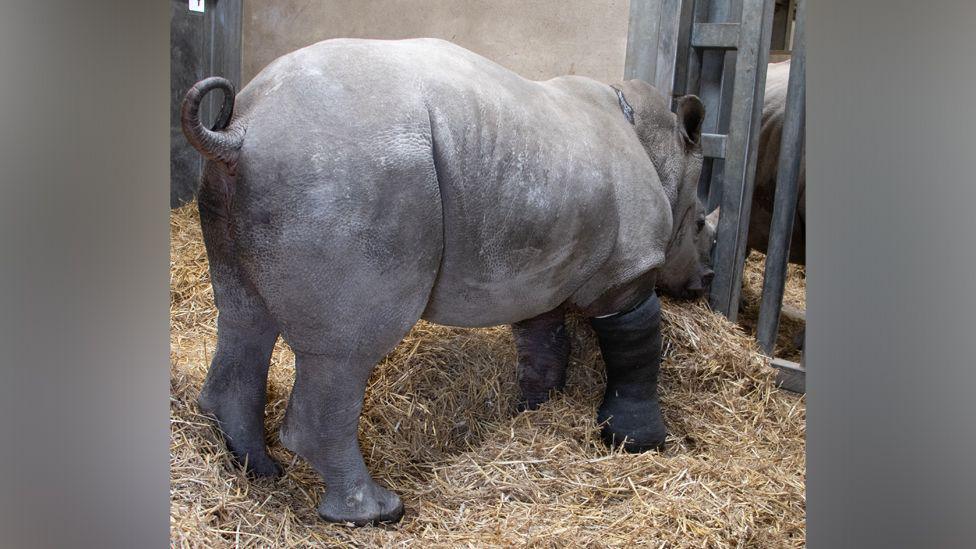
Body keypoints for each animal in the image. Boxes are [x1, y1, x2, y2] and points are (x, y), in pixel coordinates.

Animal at [183, 36, 712, 524]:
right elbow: (637, 347)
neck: (659, 148)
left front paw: (535, 410)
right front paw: (639, 442)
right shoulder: (628, 270)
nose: (701, 284)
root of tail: (243, 131)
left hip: (258, 177)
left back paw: (256, 469)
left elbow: (543, 340)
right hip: (341, 172)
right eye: (703, 224)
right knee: (343, 354)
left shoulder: (542, 273)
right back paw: (376, 512)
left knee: (243, 318)